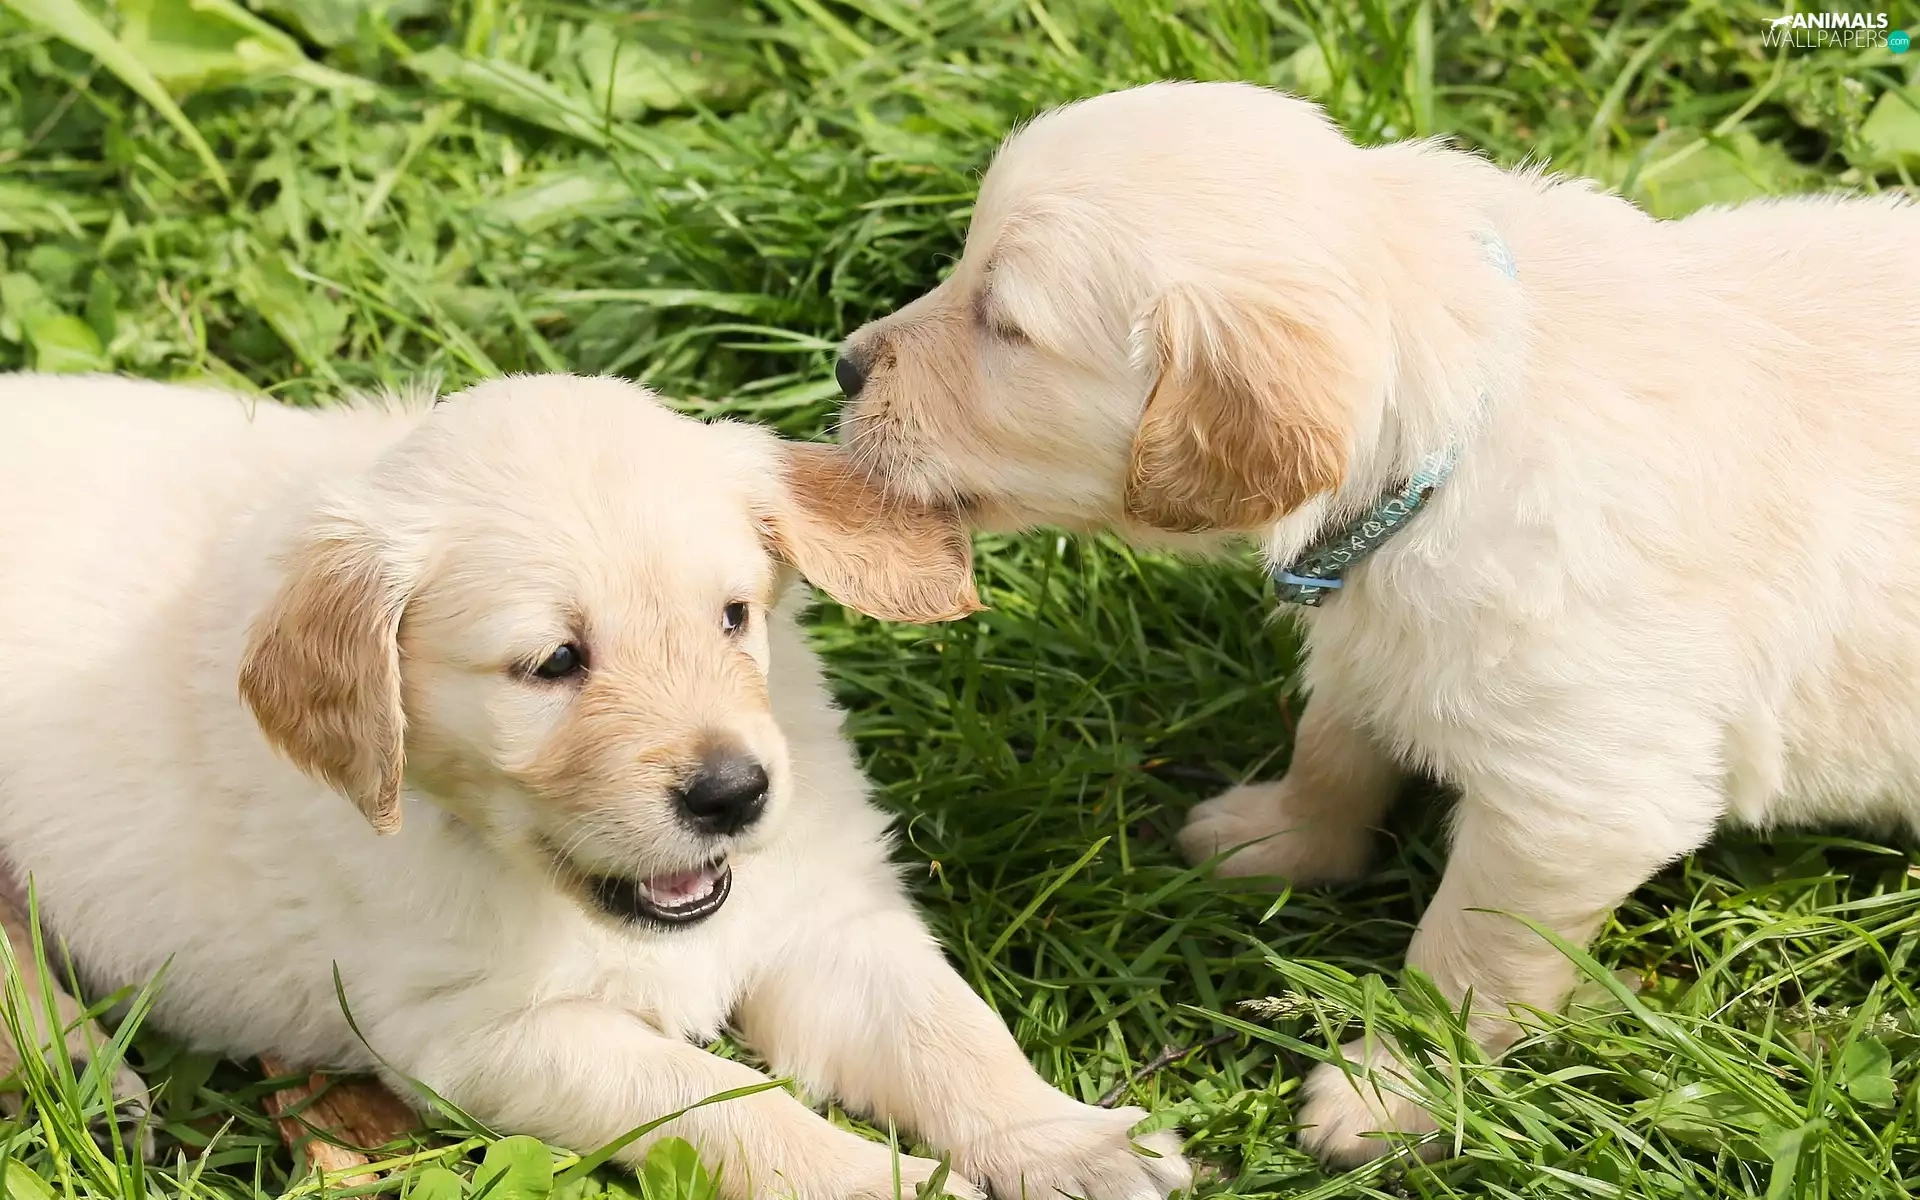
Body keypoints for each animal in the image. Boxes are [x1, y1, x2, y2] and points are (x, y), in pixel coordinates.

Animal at [0, 371, 1192, 1199]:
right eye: (552, 664)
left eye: (733, 616)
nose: (732, 796)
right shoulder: (481, 1035)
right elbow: (722, 1104)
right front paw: (878, 1182)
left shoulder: (825, 917)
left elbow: (952, 1033)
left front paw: (1072, 1141)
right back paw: (82, 1074)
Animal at [833, 80, 1920, 1162]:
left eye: (1005, 326)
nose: (843, 365)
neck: (1451, 438)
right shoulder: (1367, 629)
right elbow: (1332, 745)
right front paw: (1281, 840)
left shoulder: (1577, 803)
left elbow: (1467, 961)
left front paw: (1394, 1092)